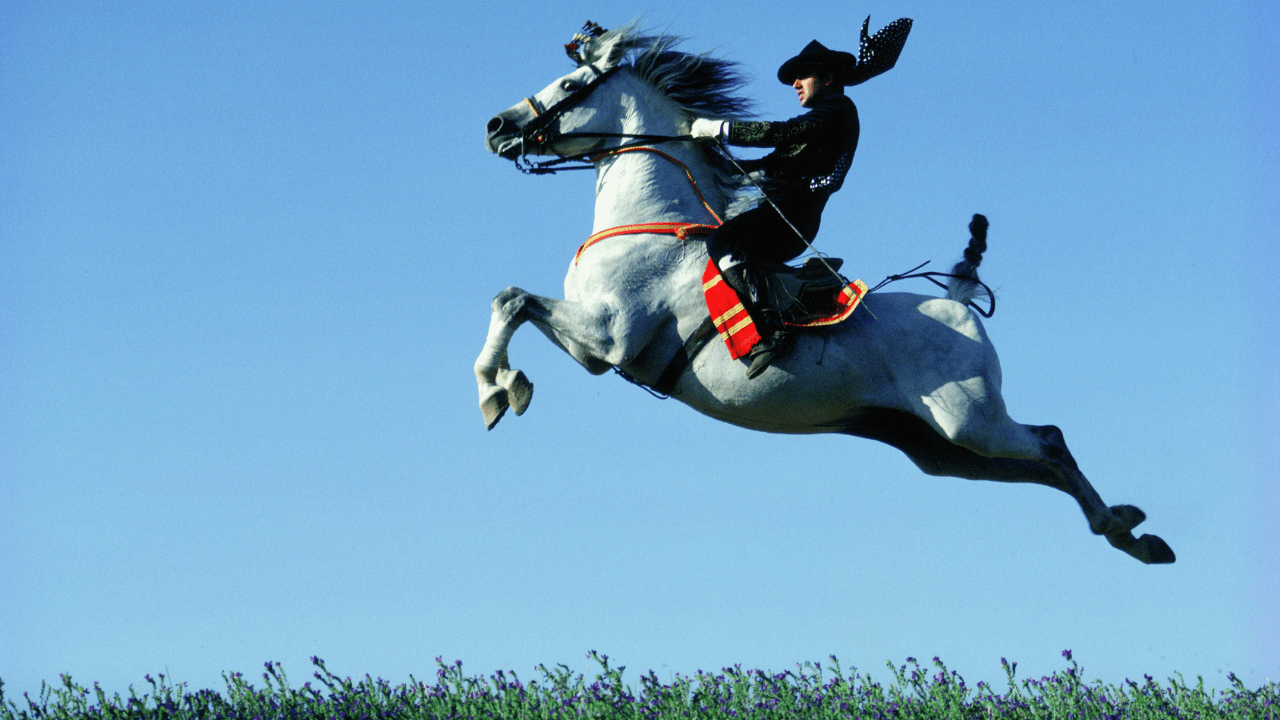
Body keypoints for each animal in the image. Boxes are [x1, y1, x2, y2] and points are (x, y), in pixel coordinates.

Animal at [475, 23, 1174, 564]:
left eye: (570, 86)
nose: (496, 126)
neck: (650, 217)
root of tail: (958, 301)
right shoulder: (591, 345)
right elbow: (508, 298)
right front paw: (502, 386)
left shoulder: (608, 336)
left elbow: (512, 299)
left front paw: (499, 390)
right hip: (942, 449)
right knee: (1039, 463)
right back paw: (1128, 531)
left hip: (970, 421)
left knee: (1051, 441)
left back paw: (1125, 530)